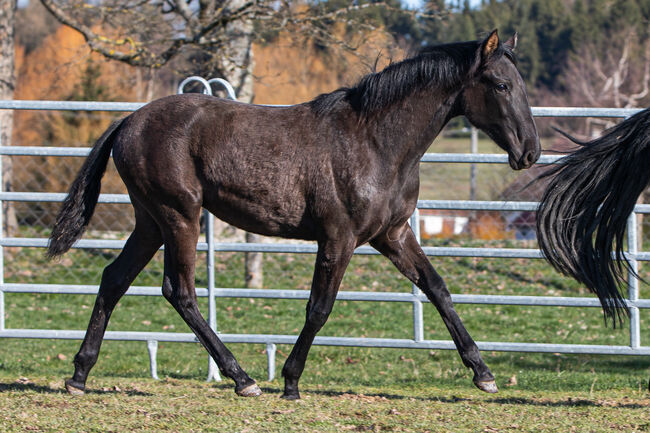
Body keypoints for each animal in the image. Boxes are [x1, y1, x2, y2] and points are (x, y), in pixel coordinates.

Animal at [49, 31, 536, 398]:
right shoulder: (339, 238)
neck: (375, 143)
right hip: (178, 217)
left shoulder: (393, 234)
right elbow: (319, 308)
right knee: (179, 291)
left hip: (150, 222)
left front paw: (483, 374)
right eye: (500, 85)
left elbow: (438, 289)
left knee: (114, 279)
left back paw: (79, 374)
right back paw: (242, 378)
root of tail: (129, 121)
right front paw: (290, 381)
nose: (530, 152)